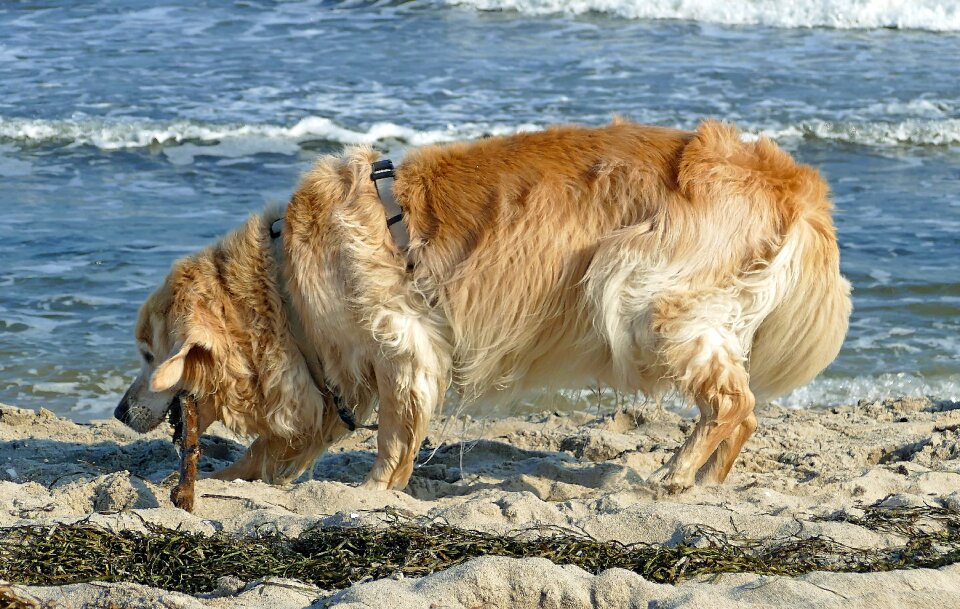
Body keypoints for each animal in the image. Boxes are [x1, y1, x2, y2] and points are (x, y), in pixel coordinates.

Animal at [116, 120, 852, 494]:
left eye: (150, 353)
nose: (120, 412)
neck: (281, 283)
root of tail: (793, 180)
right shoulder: (334, 376)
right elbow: (279, 446)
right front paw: (235, 479)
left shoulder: (403, 345)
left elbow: (393, 436)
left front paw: (373, 492)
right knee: (743, 409)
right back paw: (709, 482)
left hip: (639, 293)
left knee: (731, 402)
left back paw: (677, 472)